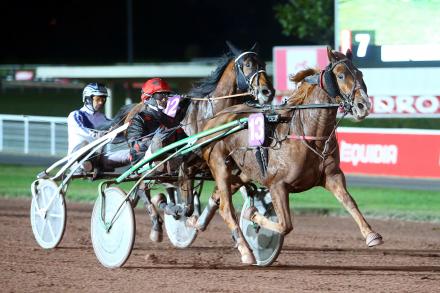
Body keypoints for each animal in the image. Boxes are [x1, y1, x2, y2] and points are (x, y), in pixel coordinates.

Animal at [198, 46, 384, 264]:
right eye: (340, 75)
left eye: (360, 74)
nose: (363, 105)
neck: (309, 134)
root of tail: (215, 119)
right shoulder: (277, 185)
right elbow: (285, 225)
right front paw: (253, 215)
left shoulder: (332, 176)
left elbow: (350, 202)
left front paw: (371, 235)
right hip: (220, 165)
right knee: (226, 208)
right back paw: (246, 251)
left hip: (240, 171)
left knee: (219, 195)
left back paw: (197, 222)